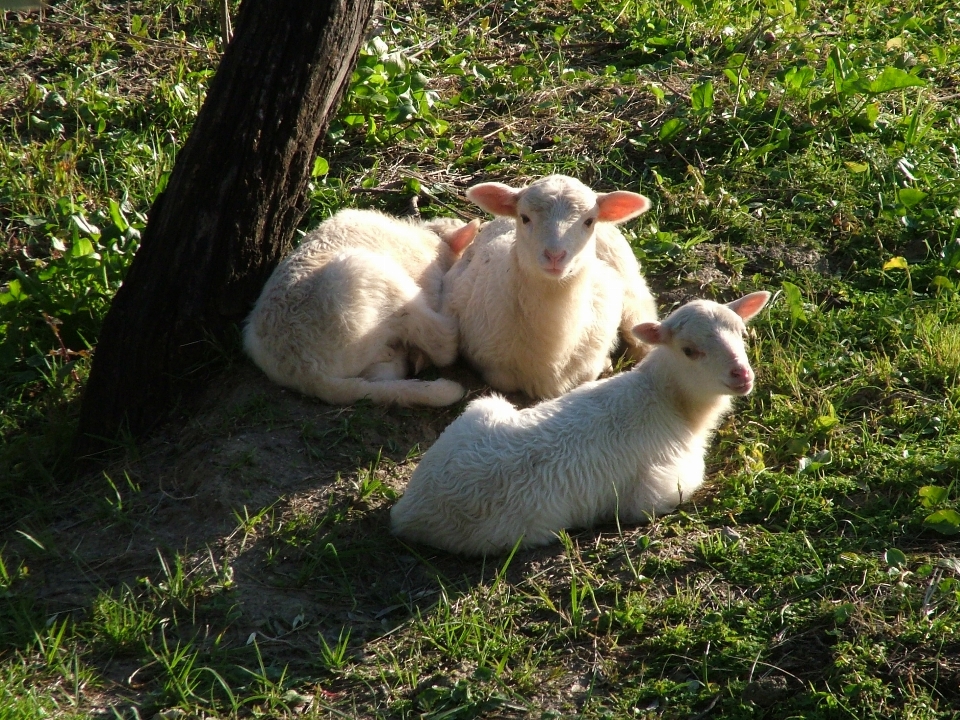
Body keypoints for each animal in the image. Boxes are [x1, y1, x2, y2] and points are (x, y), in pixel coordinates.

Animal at [390, 292, 772, 556]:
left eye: (741, 333)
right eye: (689, 350)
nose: (741, 375)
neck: (667, 399)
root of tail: (408, 511)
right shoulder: (661, 488)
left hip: (482, 409)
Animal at [442, 174, 660, 400]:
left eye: (589, 221)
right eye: (525, 218)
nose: (554, 255)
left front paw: (607, 363)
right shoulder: (492, 368)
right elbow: (503, 380)